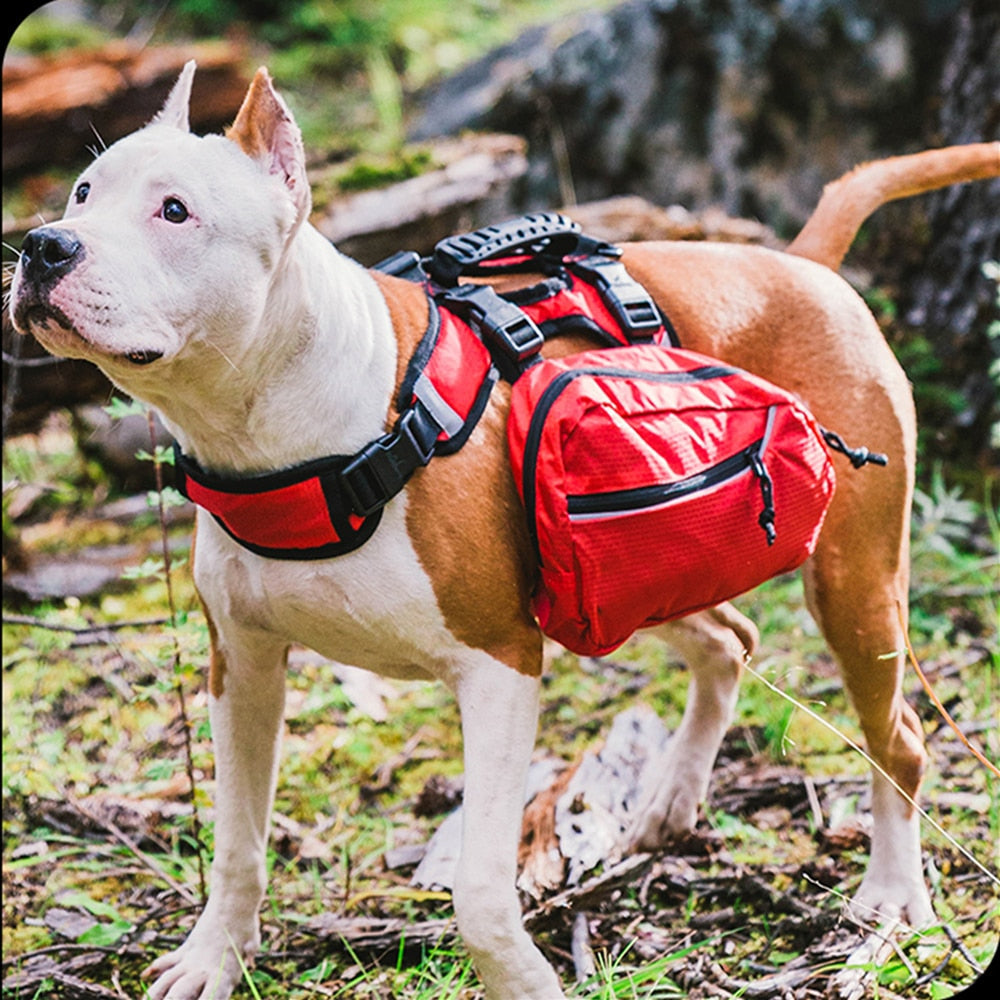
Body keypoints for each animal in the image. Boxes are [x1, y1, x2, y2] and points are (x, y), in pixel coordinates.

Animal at [9, 64, 1000, 1000]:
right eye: (83, 193)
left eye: (175, 210)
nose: (45, 245)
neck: (285, 426)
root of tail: (805, 264)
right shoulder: (242, 665)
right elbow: (237, 841)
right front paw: (215, 957)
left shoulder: (498, 664)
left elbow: (481, 889)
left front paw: (523, 981)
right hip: (639, 572)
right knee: (729, 638)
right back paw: (671, 799)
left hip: (851, 583)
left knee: (898, 738)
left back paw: (891, 899)